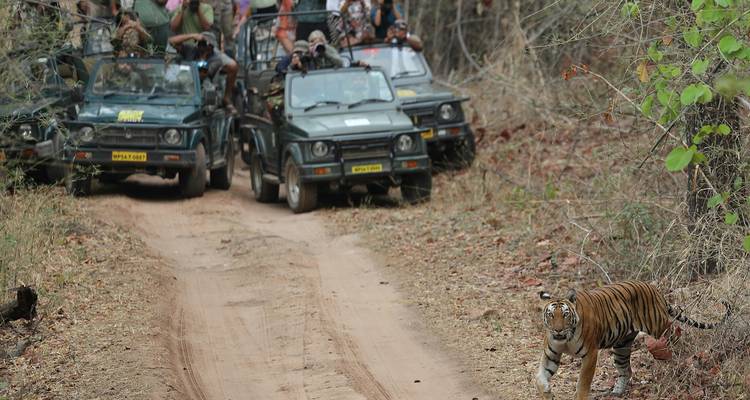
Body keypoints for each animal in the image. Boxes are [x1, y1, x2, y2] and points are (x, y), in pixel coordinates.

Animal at [535, 281, 731, 400]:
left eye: (565, 315)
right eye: (551, 315)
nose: (558, 330)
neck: (565, 339)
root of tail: (654, 288)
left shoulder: (590, 354)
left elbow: (583, 381)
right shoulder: (551, 354)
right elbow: (540, 377)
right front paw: (547, 393)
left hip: (658, 326)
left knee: (674, 334)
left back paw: (683, 355)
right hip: (621, 346)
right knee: (626, 370)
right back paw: (617, 392)